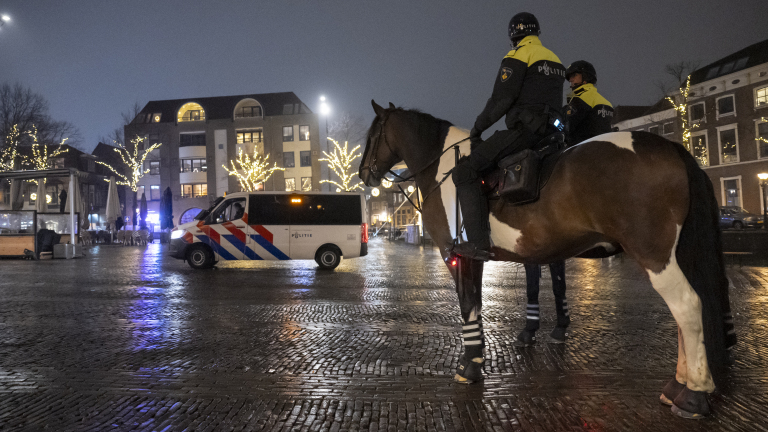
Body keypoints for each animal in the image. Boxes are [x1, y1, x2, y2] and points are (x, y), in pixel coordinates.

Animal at [362, 100, 736, 418]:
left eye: (372, 135)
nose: (366, 174)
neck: (444, 167)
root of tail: (673, 148)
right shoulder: (478, 259)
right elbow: (478, 306)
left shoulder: (459, 256)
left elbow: (468, 306)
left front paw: (469, 367)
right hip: (677, 254)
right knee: (688, 313)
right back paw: (678, 386)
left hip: (655, 255)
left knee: (687, 306)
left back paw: (693, 396)